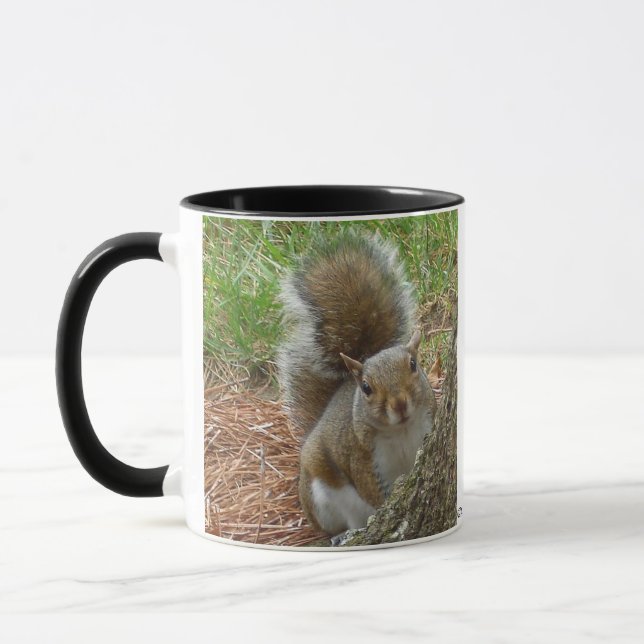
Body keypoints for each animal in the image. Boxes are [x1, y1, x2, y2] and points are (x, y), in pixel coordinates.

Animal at [277, 233, 438, 536]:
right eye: (366, 388)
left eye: (413, 365)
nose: (399, 404)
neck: (402, 430)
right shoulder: (362, 457)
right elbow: (371, 491)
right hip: (323, 498)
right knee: (343, 523)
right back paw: (342, 536)